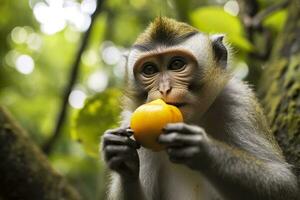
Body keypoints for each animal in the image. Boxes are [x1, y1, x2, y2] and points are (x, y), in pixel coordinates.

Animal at [100, 17, 298, 200]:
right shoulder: (130, 120)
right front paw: (122, 154)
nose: (164, 89)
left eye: (176, 64)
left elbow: (284, 183)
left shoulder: (238, 100)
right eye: (149, 69)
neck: (194, 119)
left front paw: (203, 150)